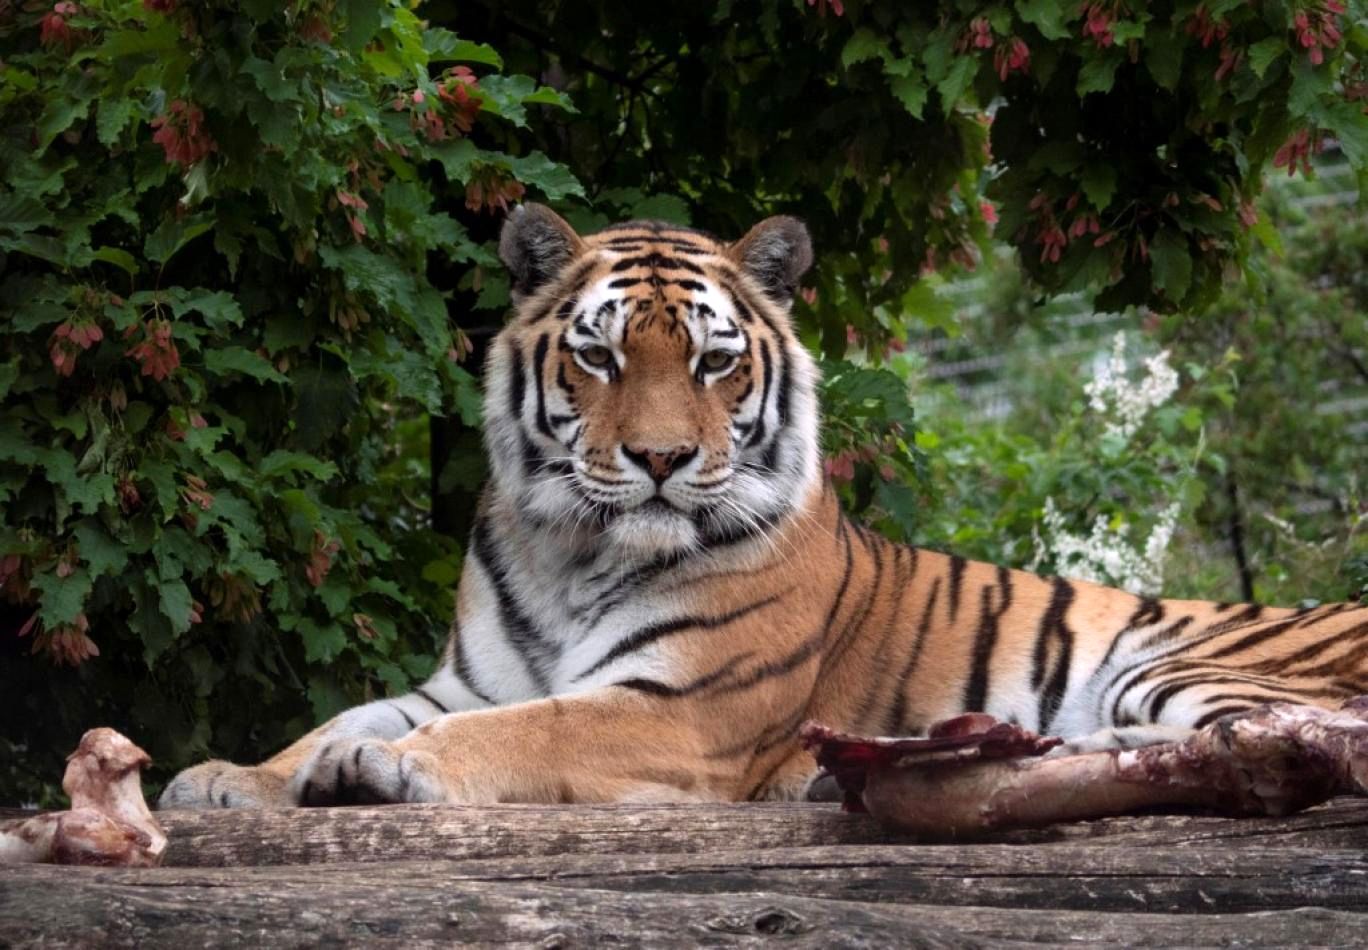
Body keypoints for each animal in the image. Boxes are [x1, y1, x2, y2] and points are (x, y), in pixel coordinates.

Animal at [160, 206, 1368, 810]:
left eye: (714, 361)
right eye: (599, 355)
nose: (658, 457)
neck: (573, 553)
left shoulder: (677, 708)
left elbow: (523, 728)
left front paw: (390, 770)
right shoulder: (457, 680)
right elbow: (342, 716)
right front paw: (227, 778)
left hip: (1185, 664)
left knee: (1300, 744)